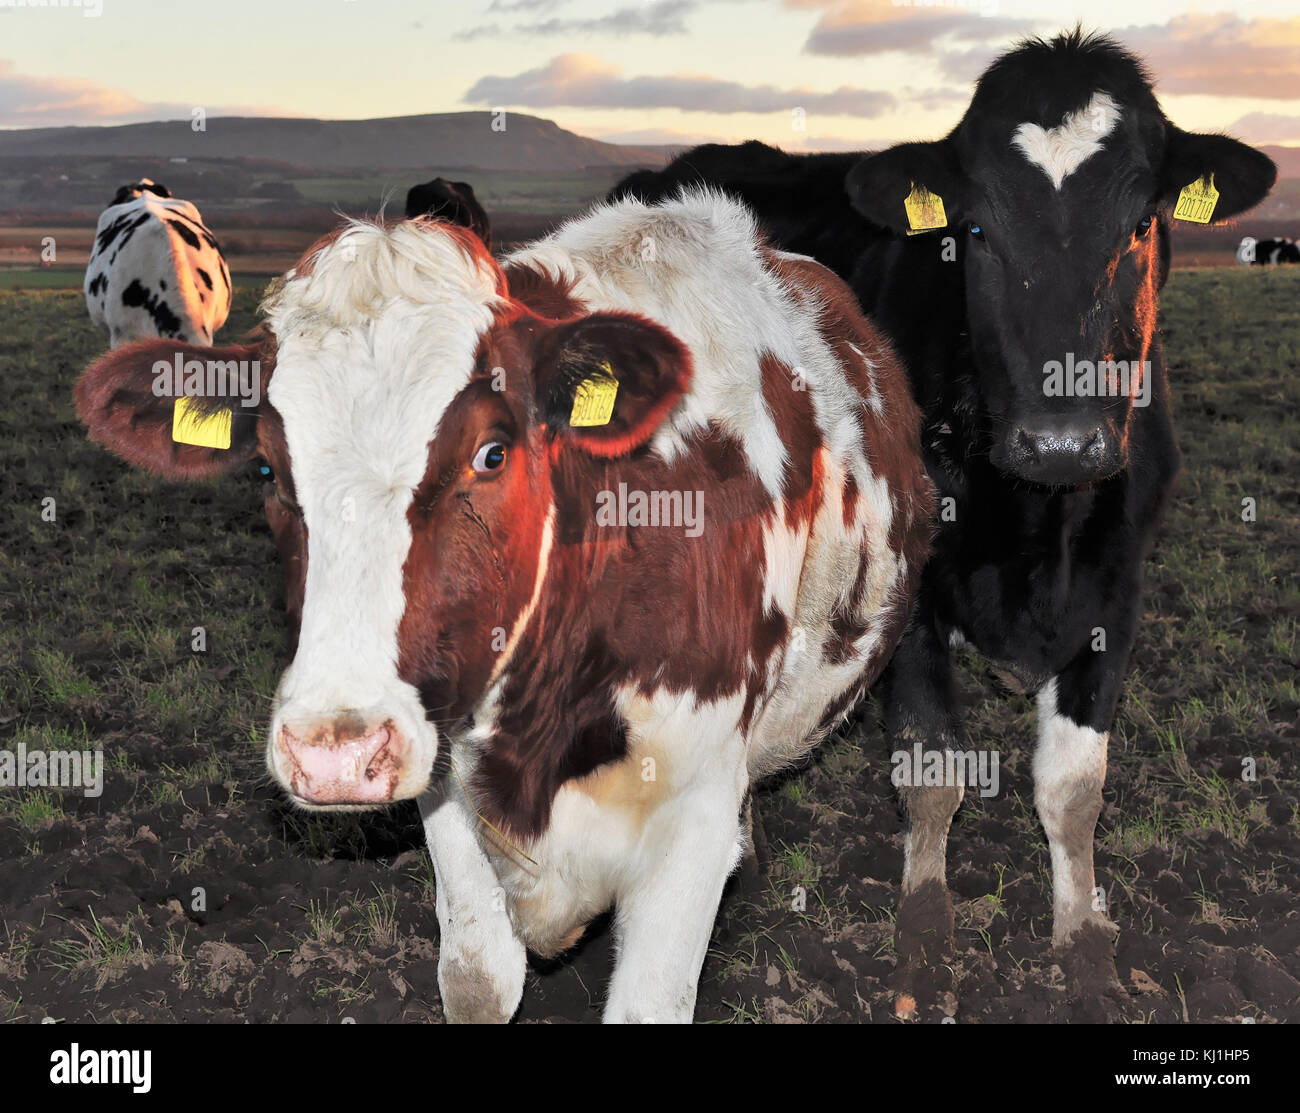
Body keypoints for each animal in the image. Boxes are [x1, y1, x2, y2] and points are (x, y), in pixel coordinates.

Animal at [612, 29, 1277, 1013]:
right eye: (974, 231)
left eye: (1141, 226)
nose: (1062, 440)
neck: (1040, 515)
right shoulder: (908, 597)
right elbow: (931, 774)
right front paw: (924, 944)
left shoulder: (1117, 589)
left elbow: (1073, 787)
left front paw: (1085, 946)